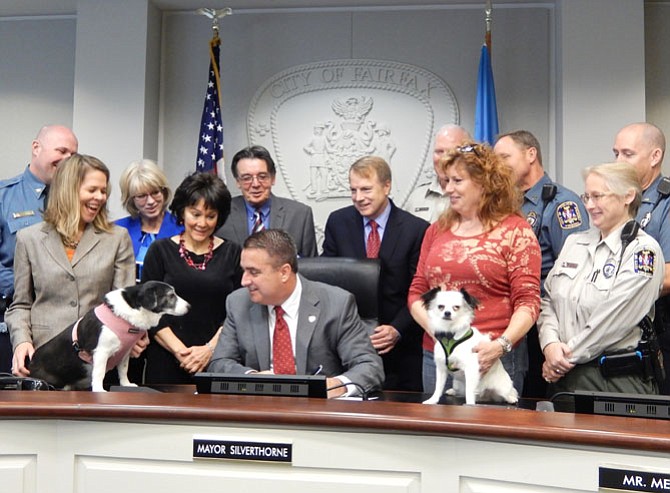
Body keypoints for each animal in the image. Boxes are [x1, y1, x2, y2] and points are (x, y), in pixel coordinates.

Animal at [30, 282, 190, 390]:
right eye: (171, 295)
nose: (189, 307)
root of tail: (31, 362)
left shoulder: (125, 353)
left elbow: (123, 370)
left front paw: (126, 384)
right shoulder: (101, 352)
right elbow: (99, 373)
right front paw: (99, 390)